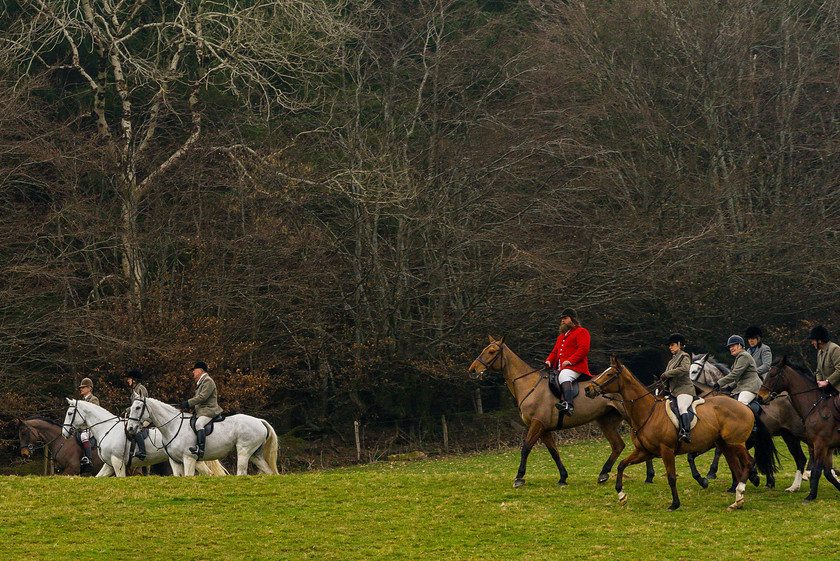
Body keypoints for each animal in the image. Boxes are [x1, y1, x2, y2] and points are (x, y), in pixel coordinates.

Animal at [125, 396, 278, 474]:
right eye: (131, 408)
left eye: (138, 407)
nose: (130, 428)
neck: (173, 426)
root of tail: (259, 421)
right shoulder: (175, 461)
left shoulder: (189, 459)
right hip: (255, 455)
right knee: (269, 472)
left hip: (244, 452)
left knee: (242, 472)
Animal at [470, 336, 652, 486]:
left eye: (491, 351)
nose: (472, 370)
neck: (529, 384)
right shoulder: (543, 428)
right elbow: (554, 452)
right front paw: (563, 478)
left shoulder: (537, 424)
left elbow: (526, 448)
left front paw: (519, 477)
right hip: (605, 421)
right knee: (617, 445)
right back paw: (603, 474)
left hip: (630, 417)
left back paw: (648, 476)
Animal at [588, 356, 776, 510]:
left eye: (609, 374)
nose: (588, 389)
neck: (648, 412)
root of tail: (745, 406)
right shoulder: (645, 451)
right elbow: (621, 465)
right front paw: (621, 495)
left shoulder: (666, 450)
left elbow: (671, 477)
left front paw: (675, 504)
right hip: (725, 445)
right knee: (737, 467)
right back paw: (738, 499)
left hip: (736, 443)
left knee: (748, 463)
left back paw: (743, 489)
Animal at [760, 356, 840, 500]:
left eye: (772, 374)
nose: (759, 397)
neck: (816, 405)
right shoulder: (827, 445)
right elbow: (826, 472)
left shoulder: (821, 443)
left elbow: (818, 470)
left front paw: (811, 495)